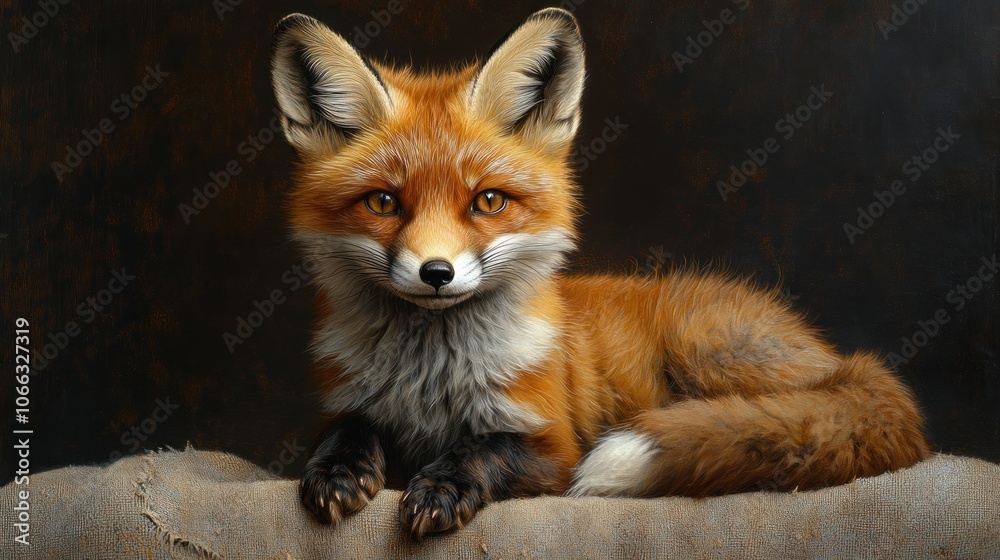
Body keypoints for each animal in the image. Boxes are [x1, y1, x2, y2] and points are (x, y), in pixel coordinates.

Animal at [269, 8, 931, 539]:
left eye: (488, 202)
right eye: (383, 203)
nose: (437, 272)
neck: (430, 380)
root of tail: (844, 358)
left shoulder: (554, 449)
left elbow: (482, 451)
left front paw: (441, 486)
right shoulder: (347, 403)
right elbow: (347, 430)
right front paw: (337, 471)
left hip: (709, 350)